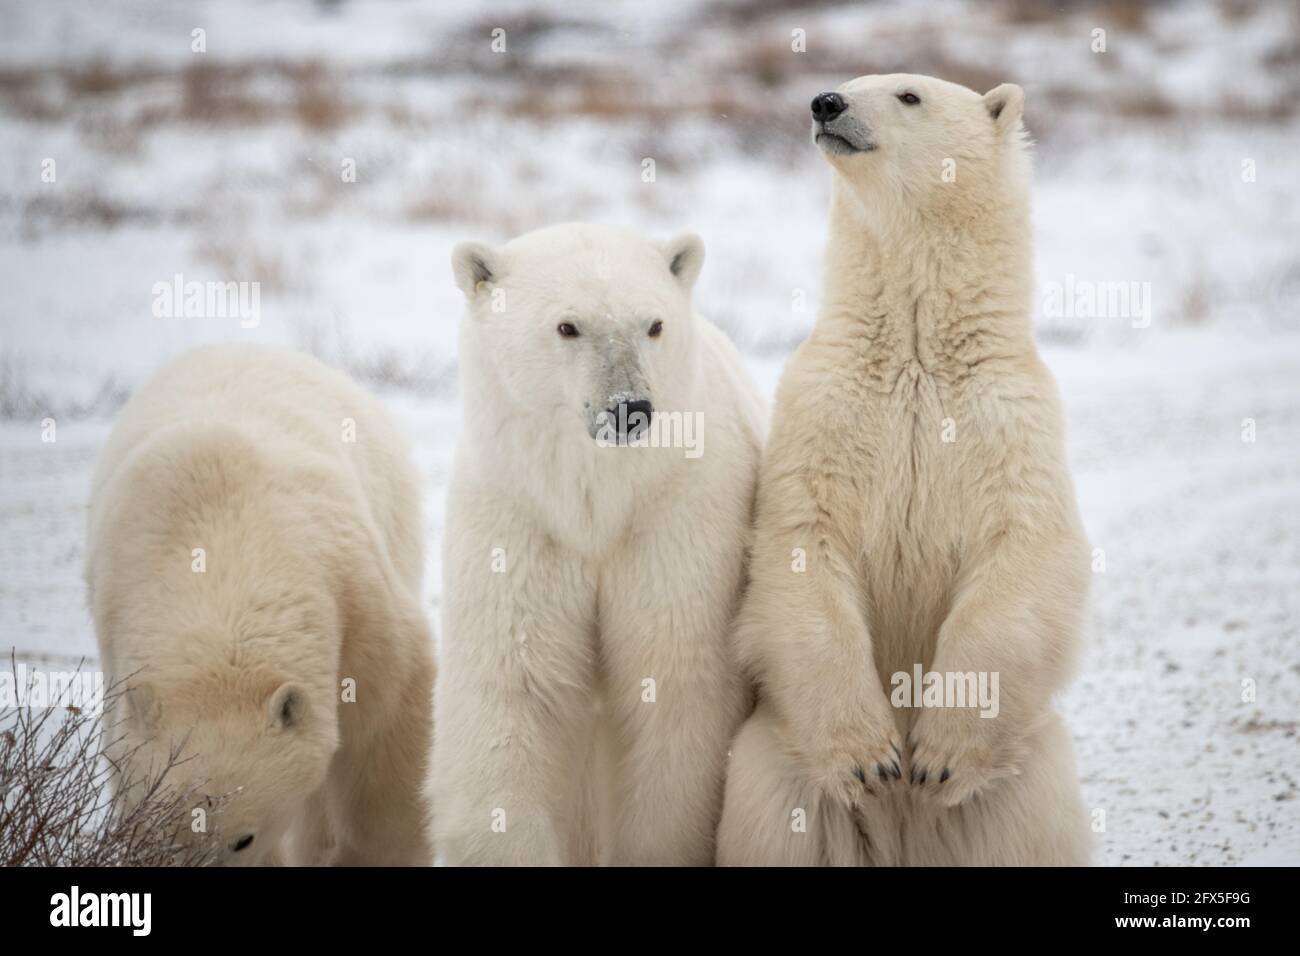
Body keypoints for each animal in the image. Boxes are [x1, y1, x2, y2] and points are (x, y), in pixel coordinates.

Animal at [431, 223, 764, 868]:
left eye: (653, 324)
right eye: (568, 326)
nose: (629, 409)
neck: (595, 505)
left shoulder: (676, 513)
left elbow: (670, 683)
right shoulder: (520, 519)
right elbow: (515, 688)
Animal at [717, 76, 1092, 868]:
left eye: (908, 94)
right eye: (849, 80)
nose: (824, 102)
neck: (919, 352)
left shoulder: (1011, 421)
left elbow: (1024, 556)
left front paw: (937, 759)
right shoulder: (822, 410)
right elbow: (801, 546)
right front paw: (873, 760)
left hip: (1029, 773)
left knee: (1030, 829)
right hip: (773, 757)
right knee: (776, 823)